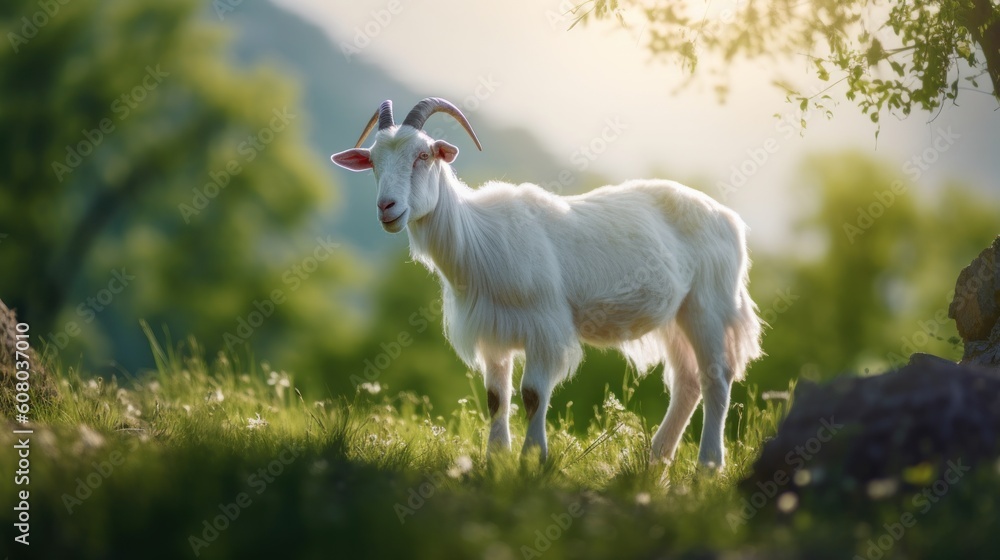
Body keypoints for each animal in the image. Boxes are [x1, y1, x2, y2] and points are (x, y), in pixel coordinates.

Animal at [331, 98, 763, 468]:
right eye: (372, 160)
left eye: (422, 155)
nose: (387, 208)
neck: (479, 239)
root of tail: (731, 221)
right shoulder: (492, 331)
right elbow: (496, 398)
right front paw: (496, 460)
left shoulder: (544, 325)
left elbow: (533, 395)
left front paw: (533, 460)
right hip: (676, 317)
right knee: (688, 383)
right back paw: (656, 460)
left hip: (709, 305)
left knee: (716, 379)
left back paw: (708, 465)